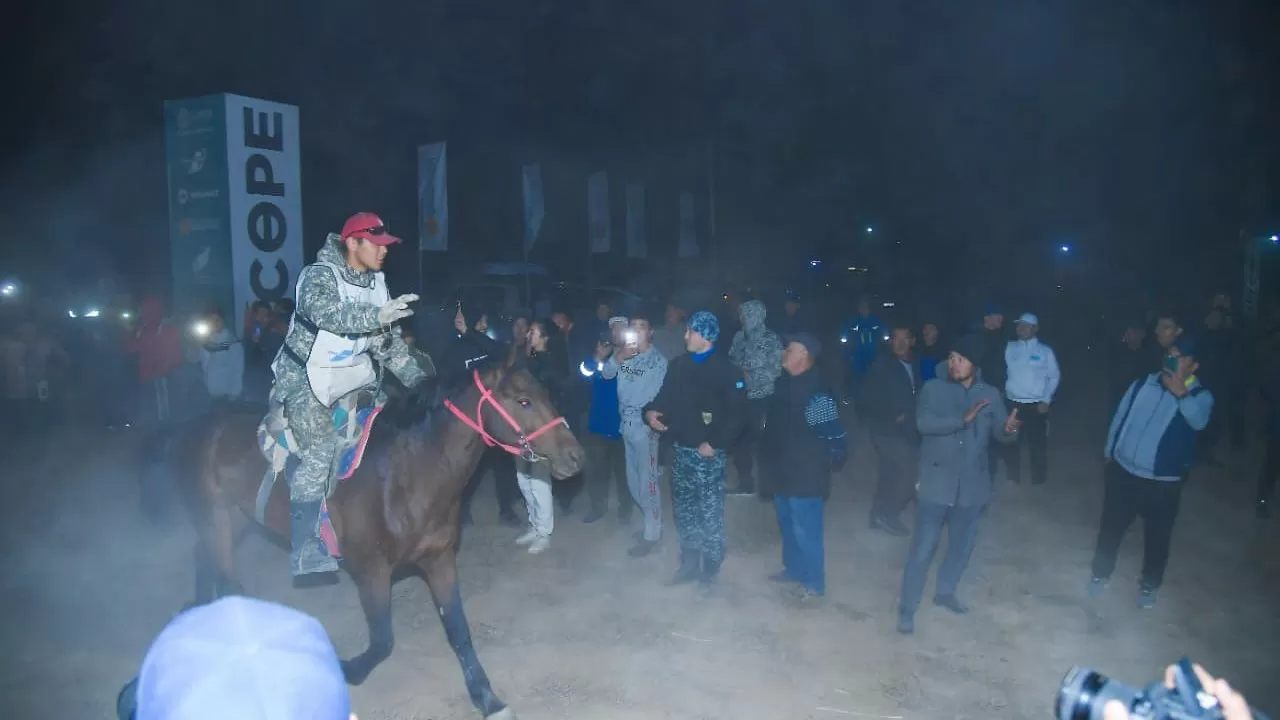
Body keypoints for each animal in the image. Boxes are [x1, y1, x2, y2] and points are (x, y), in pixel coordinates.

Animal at [172, 366, 583, 712]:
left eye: (546, 393)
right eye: (524, 400)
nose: (575, 456)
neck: (410, 476)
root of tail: (201, 424)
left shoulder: (439, 559)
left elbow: (458, 631)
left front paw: (486, 697)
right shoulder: (370, 571)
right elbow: (383, 640)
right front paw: (346, 669)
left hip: (235, 519)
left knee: (203, 557)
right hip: (216, 518)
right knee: (225, 578)